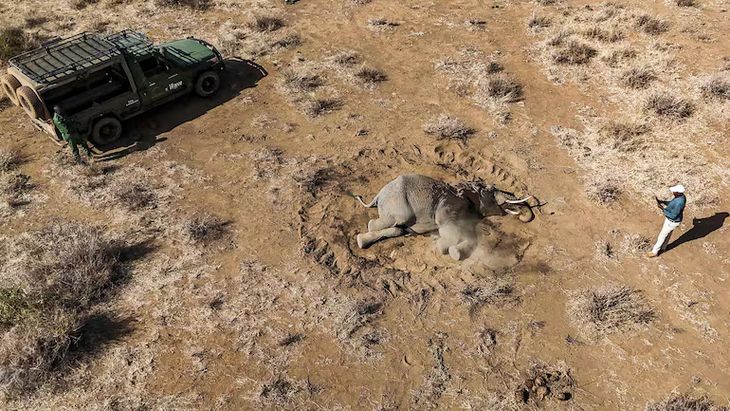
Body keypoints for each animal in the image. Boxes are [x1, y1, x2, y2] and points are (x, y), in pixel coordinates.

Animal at [354, 174, 533, 260]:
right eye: (490, 190)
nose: (520, 213)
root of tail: (378, 195)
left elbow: (471, 236)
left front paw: (455, 252)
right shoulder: (448, 205)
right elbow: (447, 226)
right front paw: (442, 248)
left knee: (398, 230)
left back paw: (361, 241)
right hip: (398, 201)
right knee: (394, 221)